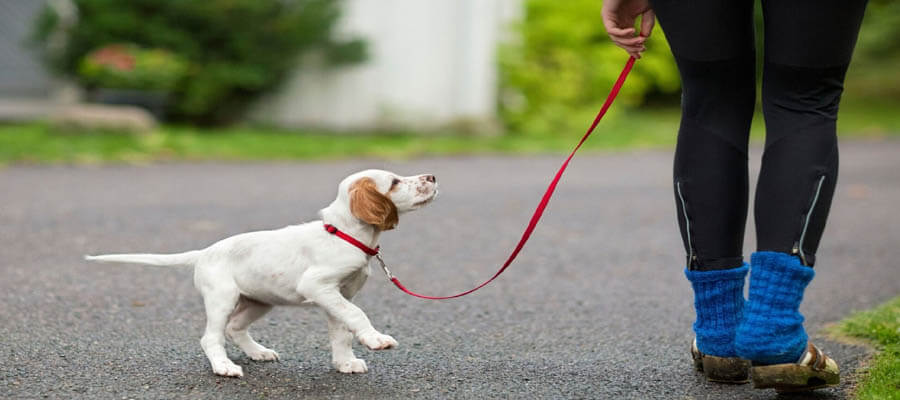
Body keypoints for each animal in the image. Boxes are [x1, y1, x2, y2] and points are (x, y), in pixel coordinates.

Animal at [86, 169, 438, 378]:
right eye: (394, 182)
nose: (432, 176)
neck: (344, 234)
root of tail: (204, 253)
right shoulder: (318, 286)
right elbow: (357, 315)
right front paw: (376, 339)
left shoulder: (338, 295)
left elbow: (342, 330)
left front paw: (345, 362)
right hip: (223, 298)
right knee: (211, 337)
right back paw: (224, 367)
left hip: (259, 300)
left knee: (235, 328)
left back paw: (258, 352)